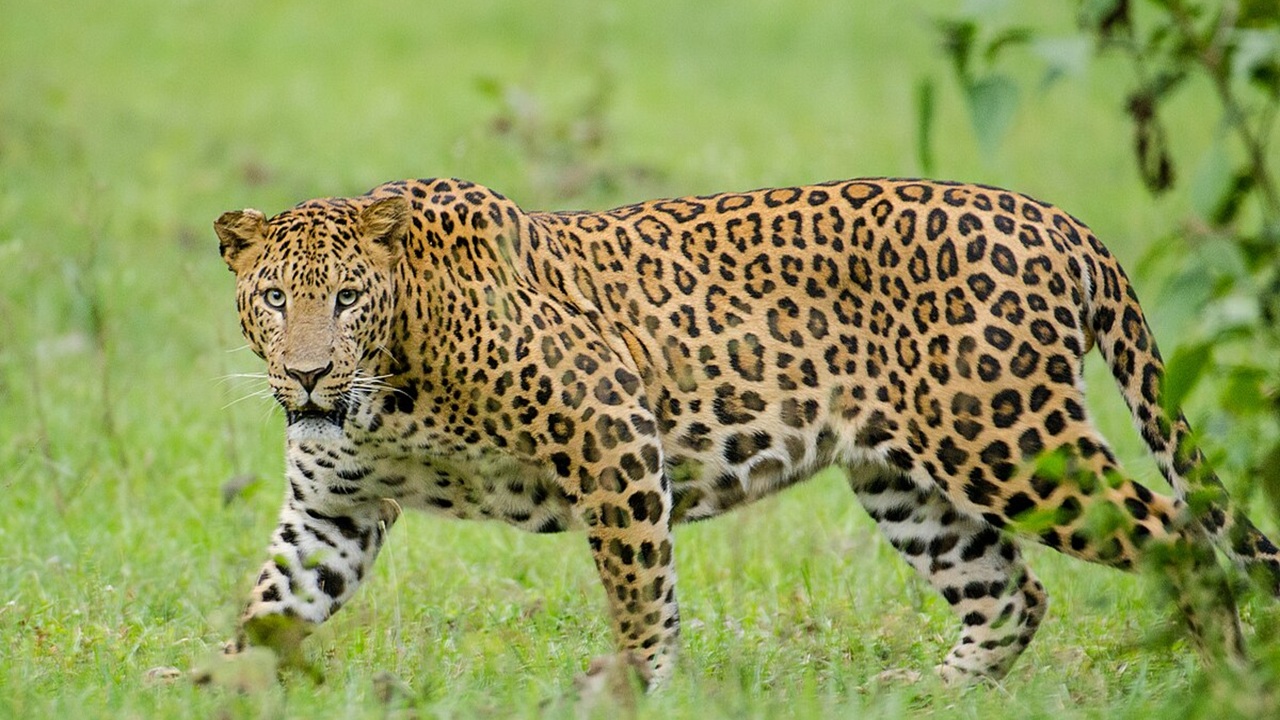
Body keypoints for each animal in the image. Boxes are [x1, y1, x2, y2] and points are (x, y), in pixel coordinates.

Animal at [214, 176, 1280, 687]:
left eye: (347, 299)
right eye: (273, 299)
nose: (306, 374)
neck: (388, 387)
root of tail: (1059, 221)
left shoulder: (612, 429)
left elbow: (640, 591)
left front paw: (634, 685)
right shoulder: (334, 511)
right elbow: (272, 604)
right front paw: (215, 684)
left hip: (1007, 439)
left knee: (1182, 539)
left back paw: (1229, 679)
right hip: (907, 480)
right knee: (1010, 594)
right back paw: (923, 691)